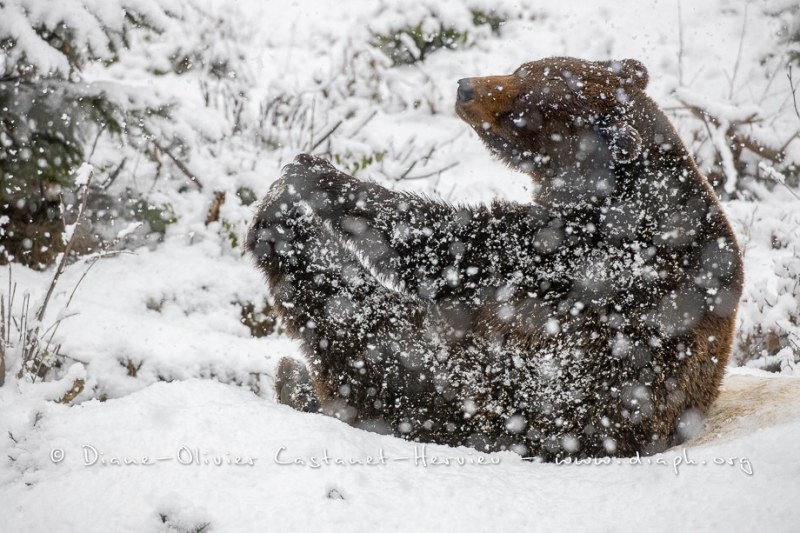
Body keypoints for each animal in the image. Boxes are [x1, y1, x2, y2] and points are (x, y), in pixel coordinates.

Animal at [247, 56, 748, 460]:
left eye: (525, 100)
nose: (465, 87)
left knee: (362, 324)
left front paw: (319, 176)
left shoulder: (588, 256)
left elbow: (457, 247)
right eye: (524, 66)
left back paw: (281, 232)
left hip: (493, 395)